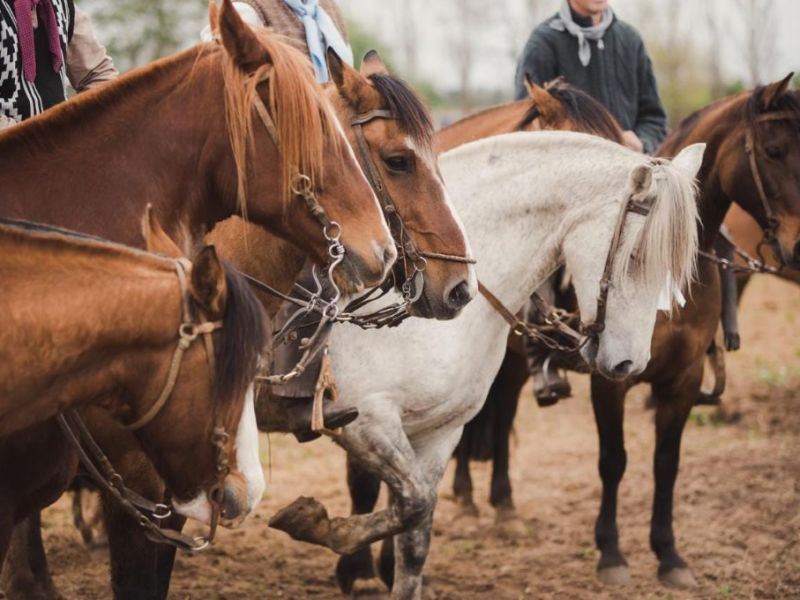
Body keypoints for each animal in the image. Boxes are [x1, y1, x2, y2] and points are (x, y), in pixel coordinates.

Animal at [268, 131, 704, 599]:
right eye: (636, 257)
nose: (629, 364)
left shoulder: (439, 432)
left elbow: (415, 529)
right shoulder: (368, 421)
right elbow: (407, 501)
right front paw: (316, 525)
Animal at [439, 75, 800, 589]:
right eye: (773, 151)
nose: (798, 246)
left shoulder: (684, 380)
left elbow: (666, 463)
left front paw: (669, 555)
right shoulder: (611, 377)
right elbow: (614, 460)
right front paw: (611, 553)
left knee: (502, 407)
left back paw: (501, 504)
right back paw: (472, 496)